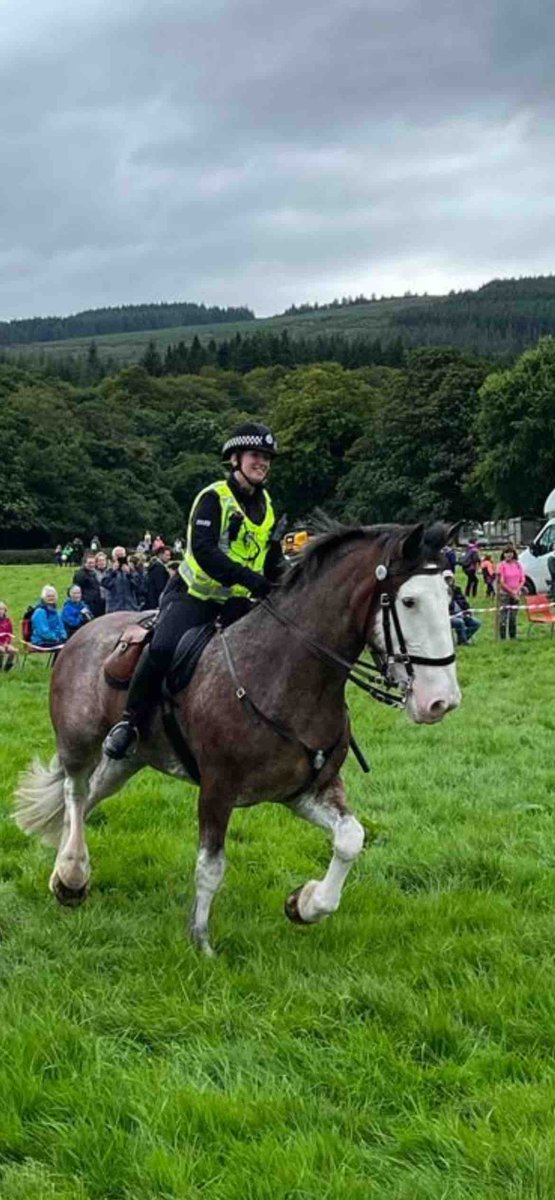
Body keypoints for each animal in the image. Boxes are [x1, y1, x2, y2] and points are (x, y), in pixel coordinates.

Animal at [15, 523, 461, 955]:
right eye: (409, 602)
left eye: (449, 594)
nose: (441, 701)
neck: (287, 675)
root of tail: (81, 631)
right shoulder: (218, 789)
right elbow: (210, 867)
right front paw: (201, 942)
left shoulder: (305, 790)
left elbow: (351, 839)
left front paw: (304, 904)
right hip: (78, 742)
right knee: (75, 793)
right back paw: (72, 873)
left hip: (128, 758)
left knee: (88, 798)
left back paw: (64, 876)